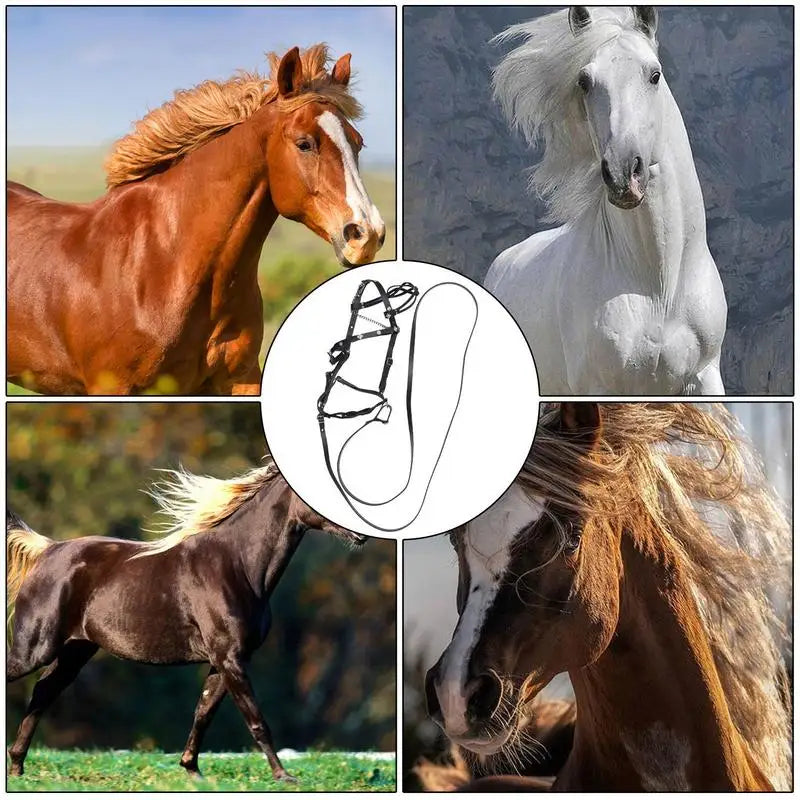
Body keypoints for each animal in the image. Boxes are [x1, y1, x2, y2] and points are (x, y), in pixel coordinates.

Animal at [6, 461, 366, 781]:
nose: (361, 534)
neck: (236, 565)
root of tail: (47, 550)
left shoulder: (225, 660)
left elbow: (203, 713)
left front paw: (192, 771)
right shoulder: (230, 658)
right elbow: (256, 719)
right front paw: (284, 777)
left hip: (74, 651)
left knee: (43, 692)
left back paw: (18, 767)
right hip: (34, 649)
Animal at [7, 44, 385, 396]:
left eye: (357, 143)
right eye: (305, 143)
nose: (366, 235)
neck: (164, 265)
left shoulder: (241, 377)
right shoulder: (111, 386)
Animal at [485, 8, 727, 395]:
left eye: (654, 75)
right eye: (585, 81)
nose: (622, 173)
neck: (658, 288)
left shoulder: (705, 375)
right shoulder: (598, 385)